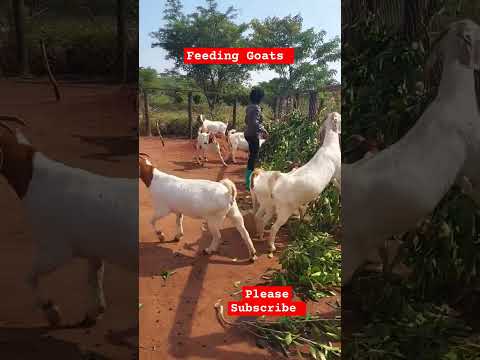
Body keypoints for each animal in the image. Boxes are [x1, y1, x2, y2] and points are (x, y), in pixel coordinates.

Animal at [0, 116, 139, 328]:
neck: (34, 179)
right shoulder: (93, 250)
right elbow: (95, 277)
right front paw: (93, 313)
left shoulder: (55, 249)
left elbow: (30, 277)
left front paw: (52, 312)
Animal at [251, 112, 342, 256]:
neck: (329, 145)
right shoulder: (338, 171)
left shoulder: (333, 177)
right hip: (284, 210)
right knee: (273, 227)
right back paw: (272, 247)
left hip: (270, 206)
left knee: (262, 219)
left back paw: (260, 236)